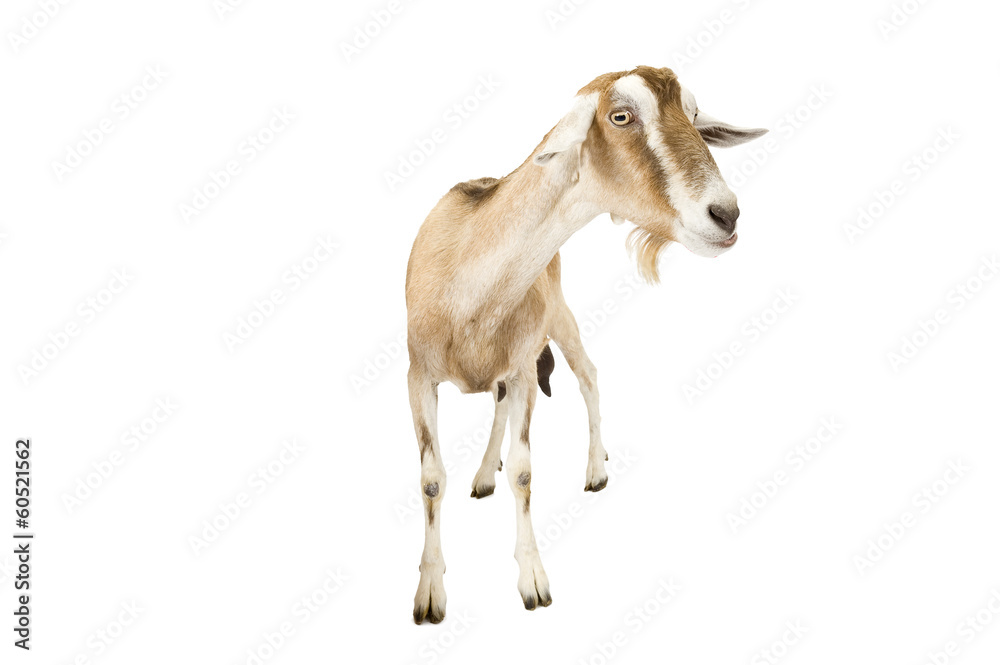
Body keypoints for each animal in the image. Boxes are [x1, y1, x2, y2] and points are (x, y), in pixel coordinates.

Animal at [405, 66, 767, 623]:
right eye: (620, 116)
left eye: (694, 114)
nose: (725, 216)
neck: (467, 283)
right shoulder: (418, 375)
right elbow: (430, 479)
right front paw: (429, 593)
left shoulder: (524, 367)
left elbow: (525, 472)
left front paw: (533, 581)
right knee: (500, 401)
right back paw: (484, 474)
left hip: (558, 319)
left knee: (588, 375)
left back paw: (594, 470)